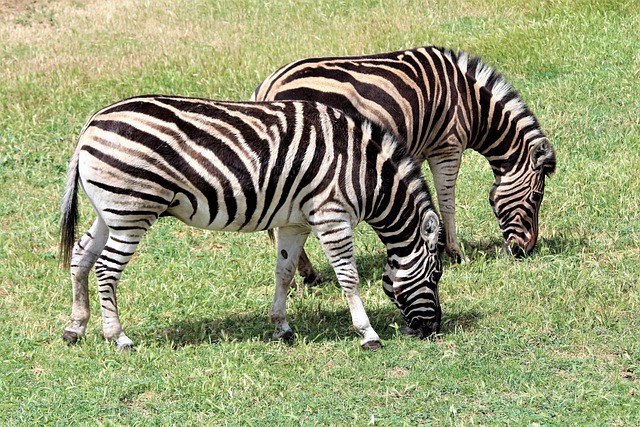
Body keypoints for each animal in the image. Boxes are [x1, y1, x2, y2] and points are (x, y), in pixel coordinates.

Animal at [59, 95, 443, 350]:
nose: (434, 329)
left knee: (81, 255)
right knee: (106, 269)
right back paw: (118, 337)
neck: (366, 174)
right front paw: (367, 334)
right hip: (132, 211)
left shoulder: (296, 223)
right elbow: (348, 277)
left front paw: (281, 327)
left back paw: (76, 327)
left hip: (111, 211)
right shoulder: (331, 216)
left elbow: (284, 272)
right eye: (436, 275)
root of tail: (91, 125)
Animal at [252, 45, 557, 279]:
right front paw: (456, 252)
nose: (526, 250)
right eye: (536, 197)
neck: (472, 104)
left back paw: (306, 274)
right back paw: (304, 275)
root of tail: (268, 86)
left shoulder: (418, 150)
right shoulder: (447, 146)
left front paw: (436, 243)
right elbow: (447, 201)